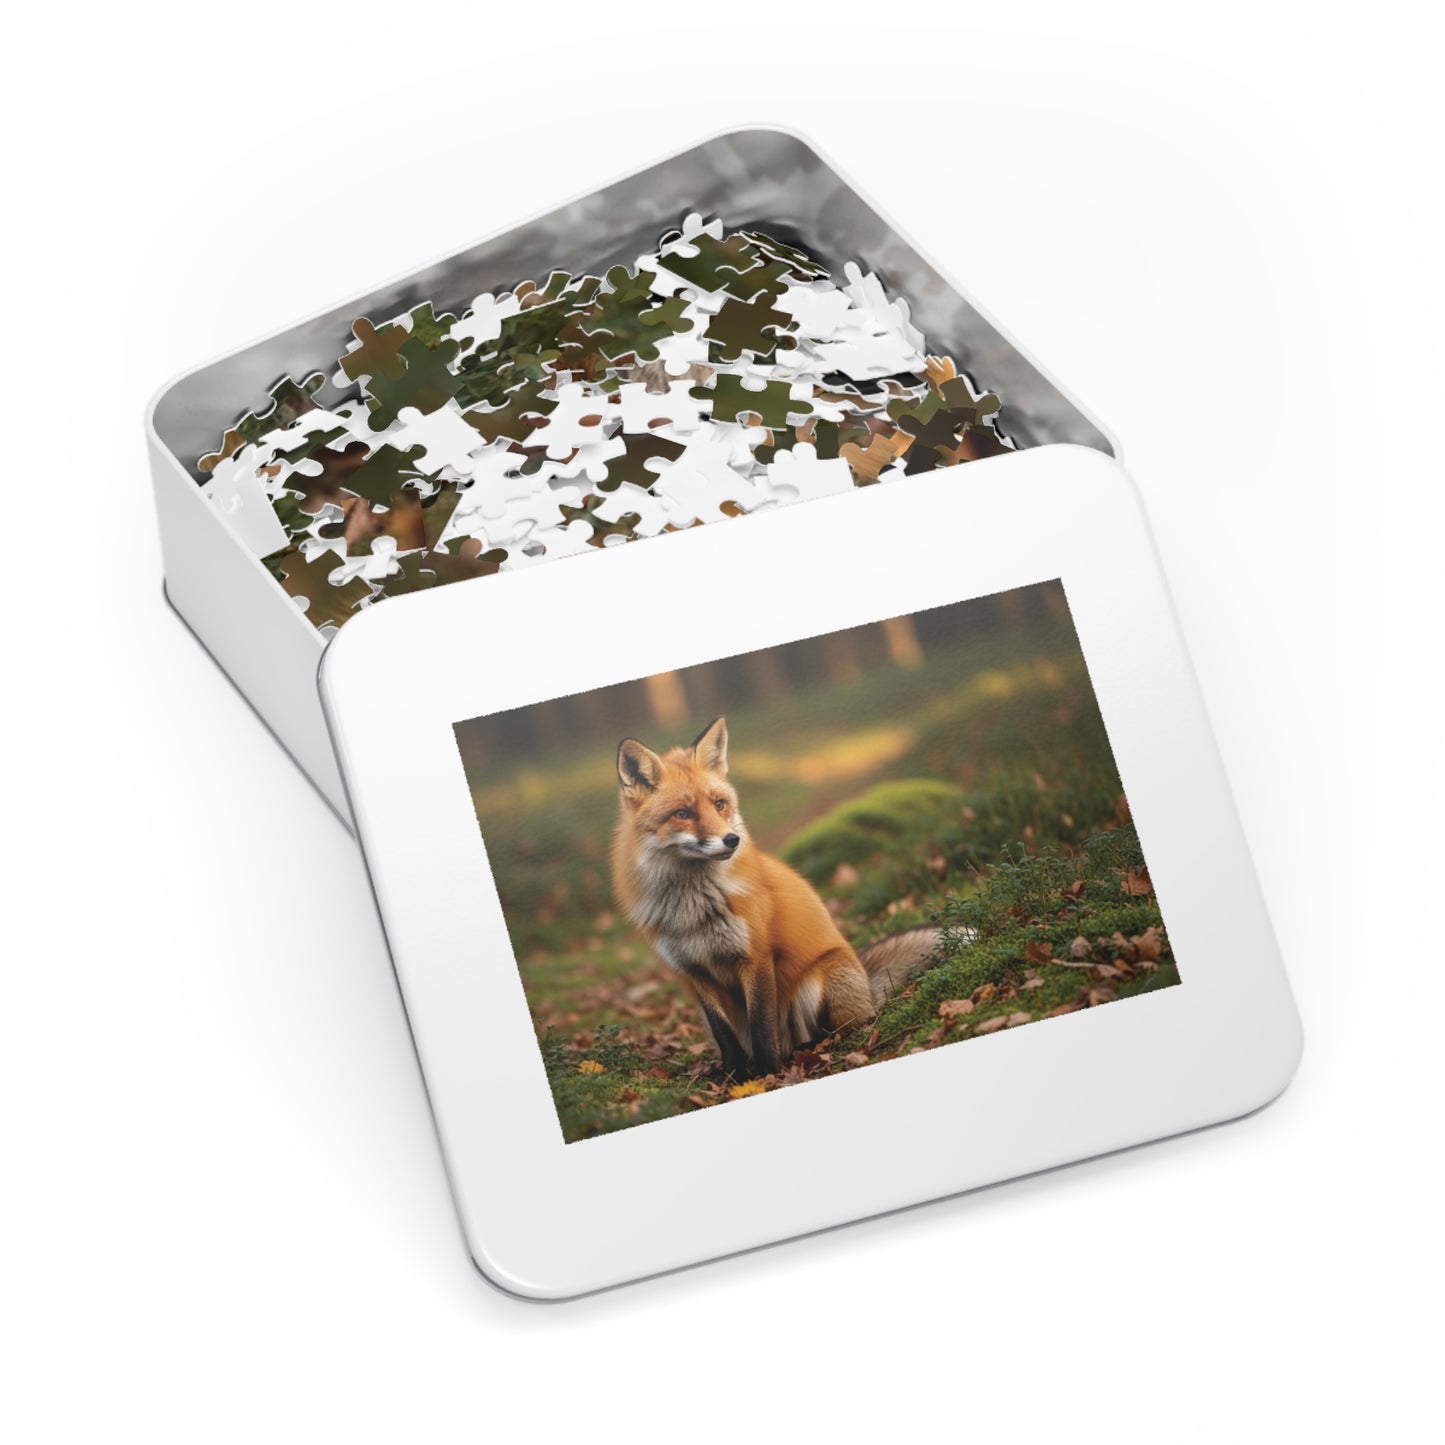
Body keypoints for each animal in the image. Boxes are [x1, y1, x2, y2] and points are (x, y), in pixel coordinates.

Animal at [612, 715, 937, 1081]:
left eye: (719, 804)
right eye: (683, 813)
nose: (732, 840)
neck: (693, 908)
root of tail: (866, 980)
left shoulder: (755, 957)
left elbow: (762, 1027)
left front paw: (765, 1075)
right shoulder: (694, 972)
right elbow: (725, 1035)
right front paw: (735, 1076)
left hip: (815, 984)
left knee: (843, 1028)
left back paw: (805, 1050)